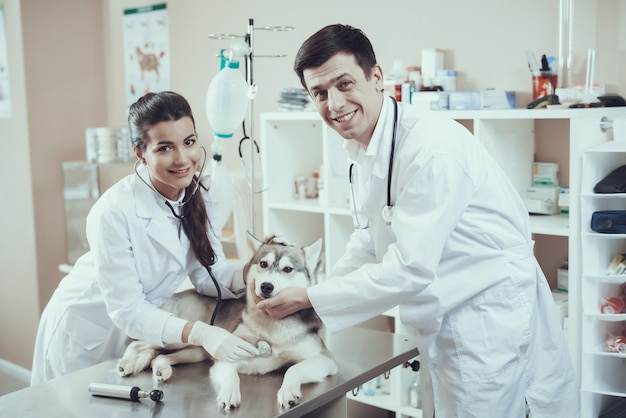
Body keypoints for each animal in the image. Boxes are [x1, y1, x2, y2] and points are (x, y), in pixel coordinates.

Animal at [116, 235, 336, 408]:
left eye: (288, 269)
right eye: (263, 264)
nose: (266, 286)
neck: (272, 326)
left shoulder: (326, 360)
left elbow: (293, 368)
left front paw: (288, 390)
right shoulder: (227, 357)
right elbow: (232, 375)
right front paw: (230, 393)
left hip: (197, 352)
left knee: (159, 357)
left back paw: (162, 369)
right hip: (177, 335)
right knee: (139, 343)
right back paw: (127, 363)